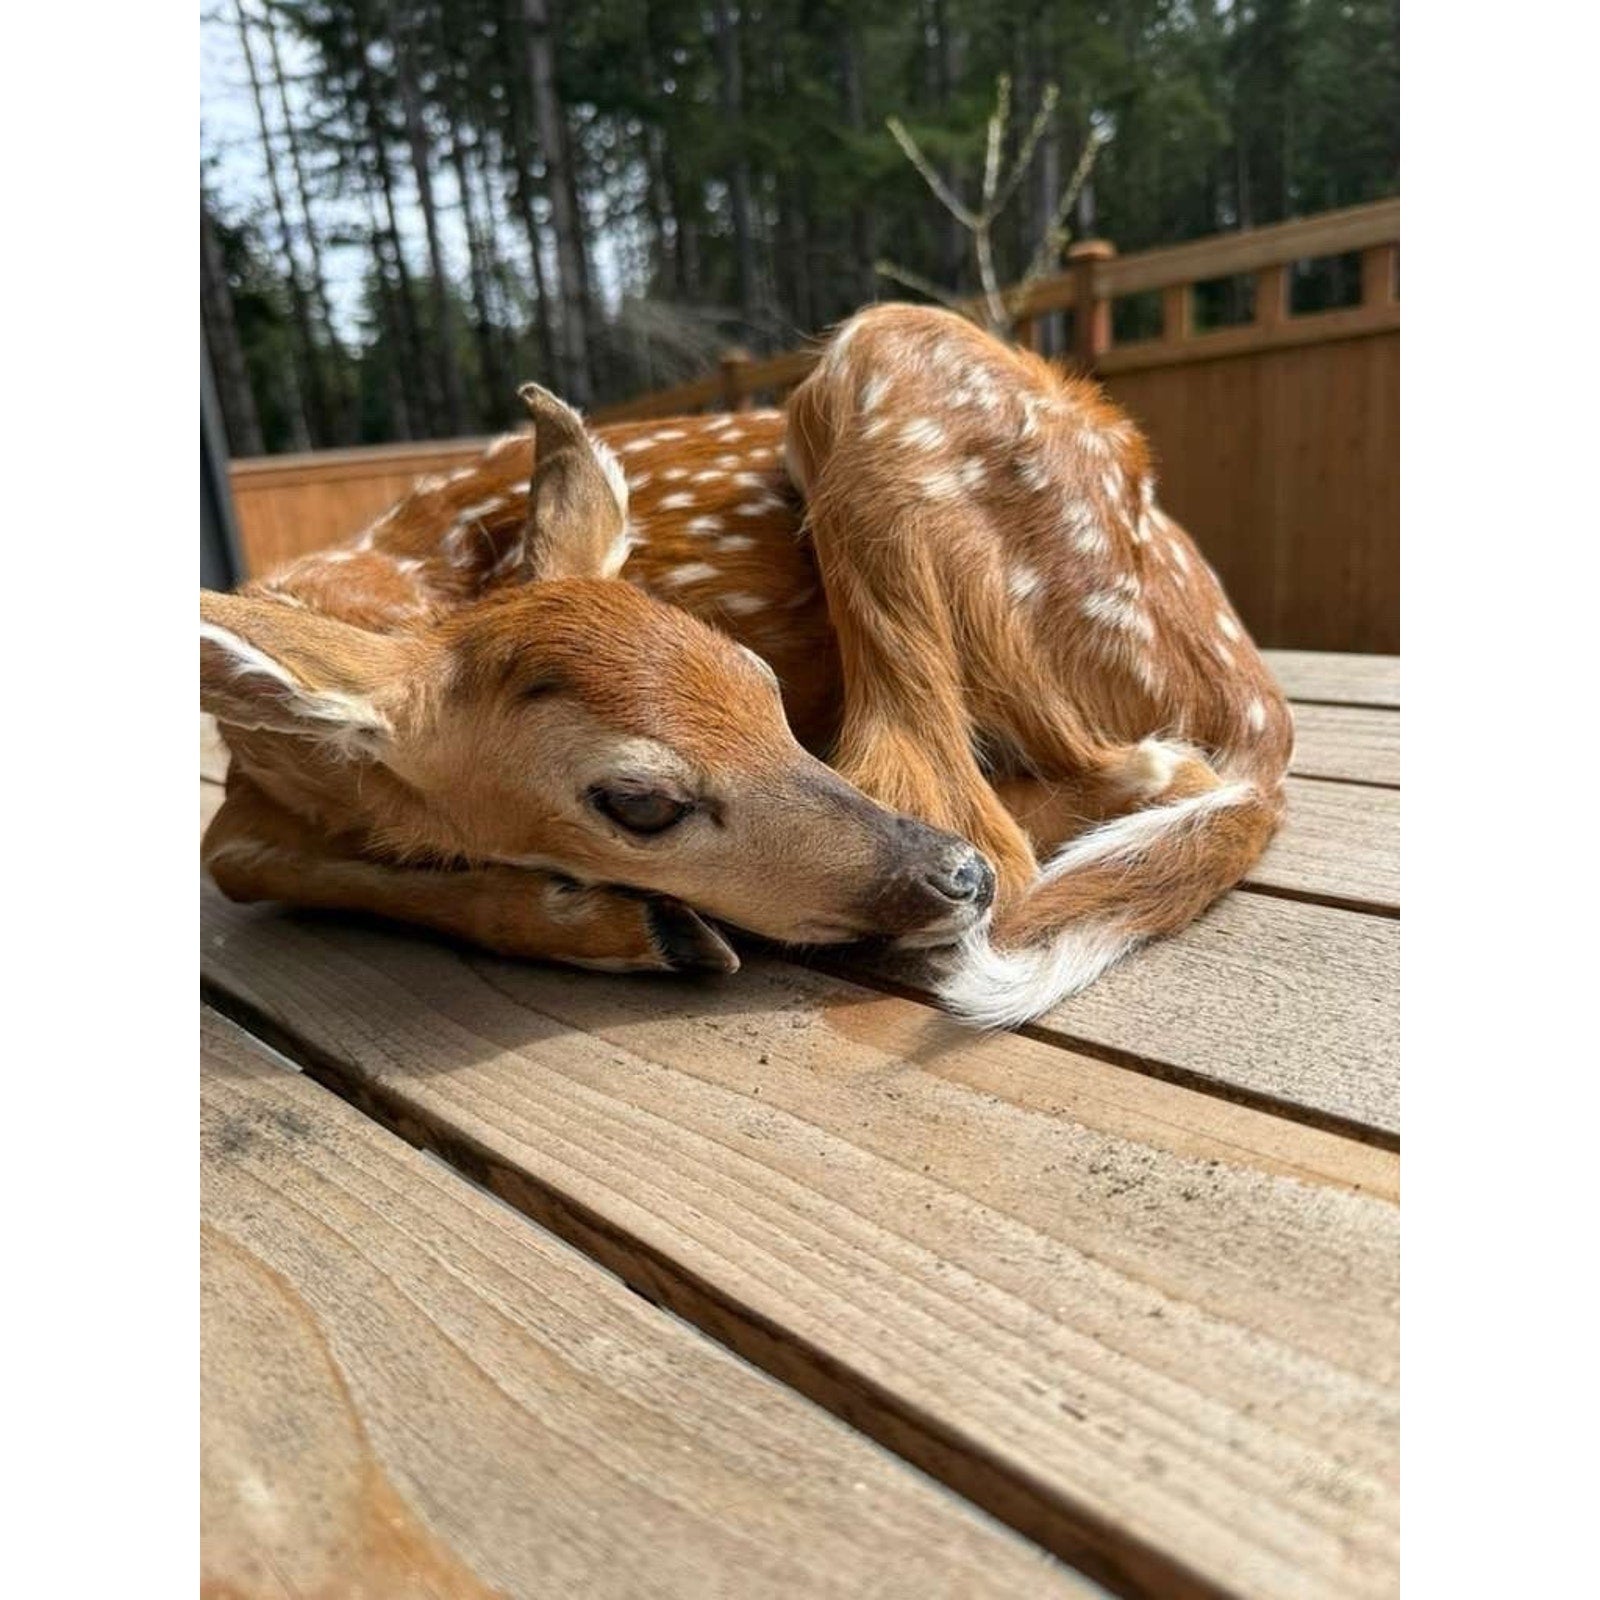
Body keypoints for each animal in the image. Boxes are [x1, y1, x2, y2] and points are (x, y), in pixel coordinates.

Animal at [201, 303, 1293, 1027]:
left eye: (760, 679)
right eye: (638, 803)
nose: (951, 878)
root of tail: (1257, 707)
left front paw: (638, 930)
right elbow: (233, 862)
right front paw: (618, 921)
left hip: (881, 353)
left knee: (1057, 792)